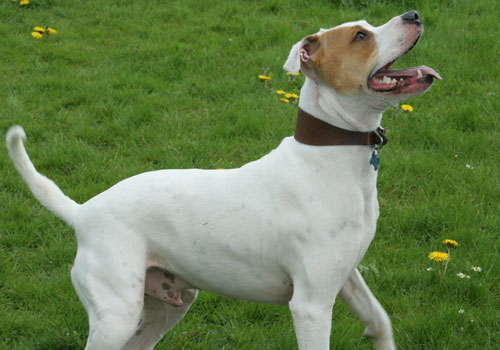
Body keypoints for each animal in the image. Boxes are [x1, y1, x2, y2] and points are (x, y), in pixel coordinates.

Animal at [6, 9, 438, 348]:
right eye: (360, 36)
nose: (414, 14)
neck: (330, 156)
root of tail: (83, 213)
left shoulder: (347, 278)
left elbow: (380, 320)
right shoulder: (312, 305)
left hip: (164, 307)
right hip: (117, 314)